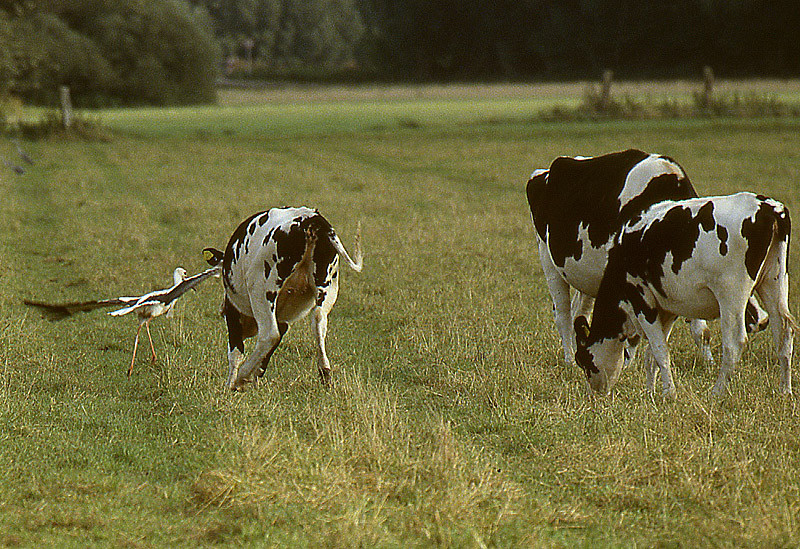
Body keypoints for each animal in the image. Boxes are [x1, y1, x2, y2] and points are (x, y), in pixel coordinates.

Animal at [203, 206, 362, 390]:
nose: (221, 309)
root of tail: (310, 218)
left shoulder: (233, 312)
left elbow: (235, 352)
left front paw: (232, 384)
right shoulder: (282, 319)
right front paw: (254, 377)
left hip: (261, 288)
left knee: (269, 334)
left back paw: (242, 376)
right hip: (327, 287)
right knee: (318, 322)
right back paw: (325, 373)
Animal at [524, 149, 768, 368]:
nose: (763, 320)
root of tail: (545, 171)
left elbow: (698, 329)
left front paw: (707, 362)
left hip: (586, 275)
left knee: (579, 312)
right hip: (548, 261)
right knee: (562, 313)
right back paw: (569, 360)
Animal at [576, 191, 792, 396]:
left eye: (585, 361)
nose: (592, 394)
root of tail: (767, 207)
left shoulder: (642, 301)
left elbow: (659, 350)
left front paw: (669, 393)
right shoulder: (667, 309)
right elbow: (651, 355)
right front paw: (651, 392)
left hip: (732, 295)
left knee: (735, 343)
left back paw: (717, 392)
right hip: (774, 282)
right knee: (784, 332)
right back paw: (785, 390)